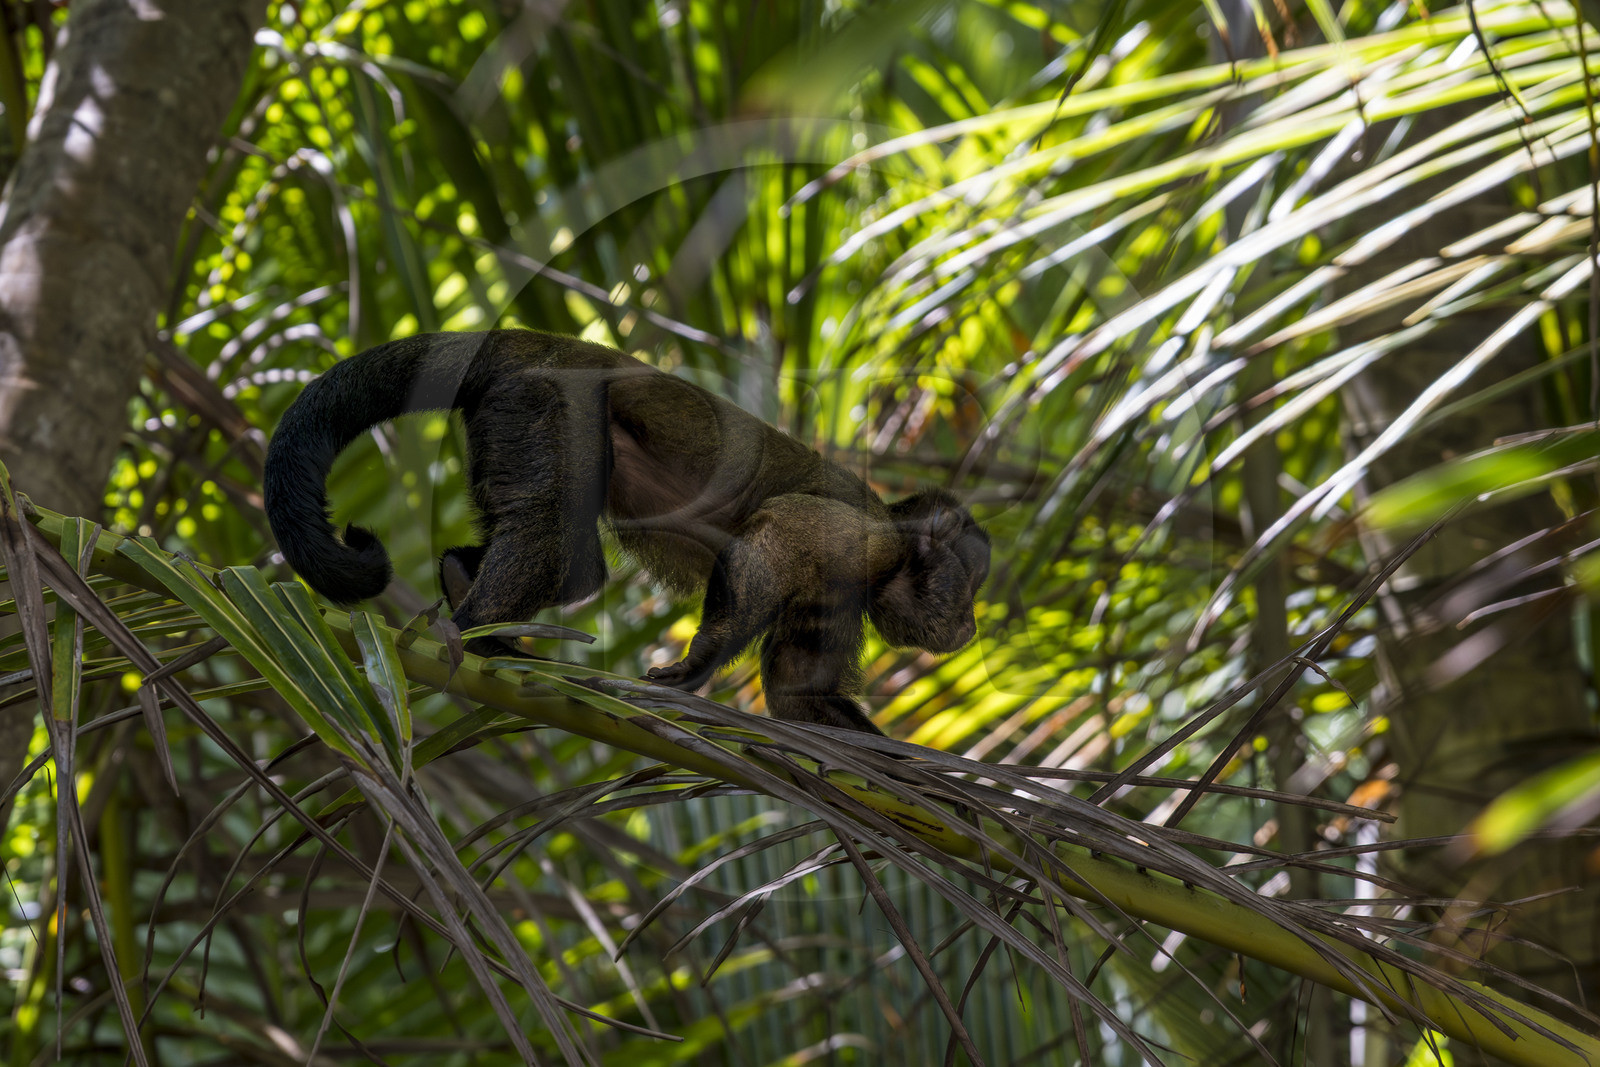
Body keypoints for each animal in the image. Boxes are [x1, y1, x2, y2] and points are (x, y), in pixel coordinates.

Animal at [263, 330, 989, 735]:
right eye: (972, 586)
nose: (971, 623)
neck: (896, 554)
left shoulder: (846, 592)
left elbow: (795, 693)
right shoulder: (863, 540)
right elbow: (776, 532)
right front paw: (699, 662)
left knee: (573, 564)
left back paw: (469, 595)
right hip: (543, 401)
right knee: (556, 540)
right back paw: (473, 631)